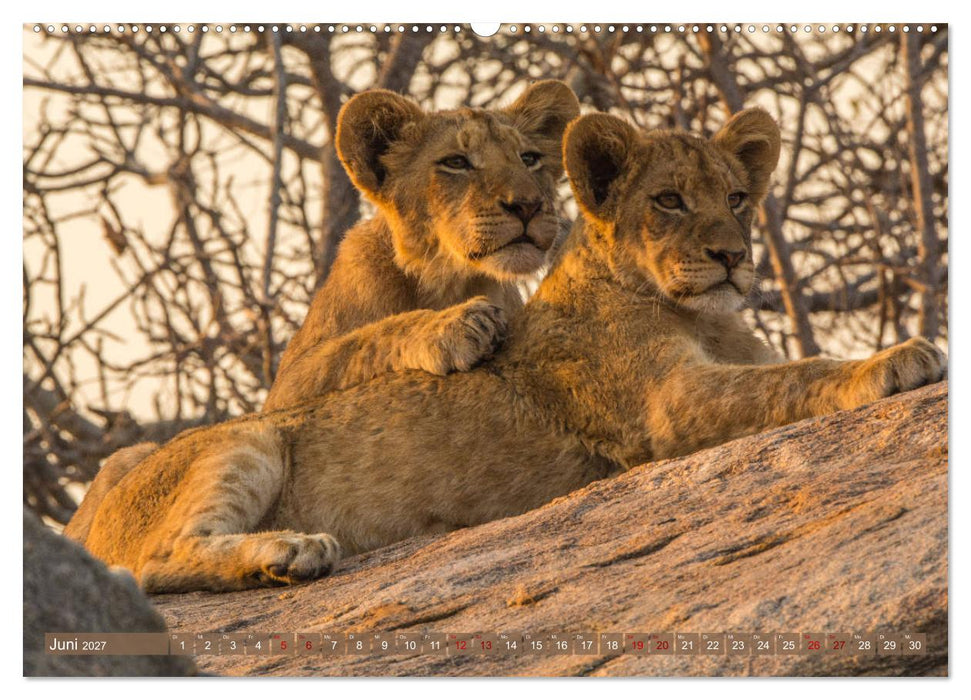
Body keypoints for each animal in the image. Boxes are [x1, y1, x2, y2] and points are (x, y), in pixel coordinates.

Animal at [72, 108, 945, 593]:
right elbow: (798, 377)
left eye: (736, 198)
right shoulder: (666, 409)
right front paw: (896, 358)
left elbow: (778, 373)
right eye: (667, 200)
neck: (705, 318)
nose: (731, 256)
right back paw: (289, 552)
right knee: (152, 564)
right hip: (248, 438)